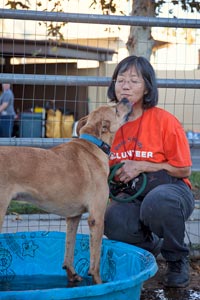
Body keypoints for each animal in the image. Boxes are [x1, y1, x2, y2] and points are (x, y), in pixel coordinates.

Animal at [0, 98, 131, 284]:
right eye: (115, 109)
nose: (125, 99)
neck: (94, 144)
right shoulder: (97, 218)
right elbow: (96, 260)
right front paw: (99, 284)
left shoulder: (73, 217)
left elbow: (69, 248)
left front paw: (72, 274)